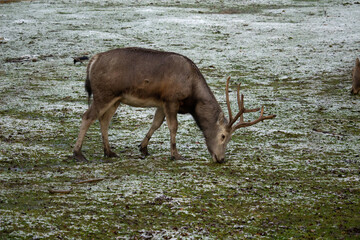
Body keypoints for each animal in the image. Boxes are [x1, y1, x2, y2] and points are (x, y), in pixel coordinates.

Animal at [73, 47, 276, 163]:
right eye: (223, 136)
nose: (221, 159)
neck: (192, 95)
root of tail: (92, 61)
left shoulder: (161, 102)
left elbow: (156, 123)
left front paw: (143, 147)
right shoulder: (171, 99)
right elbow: (173, 126)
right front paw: (175, 154)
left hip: (116, 98)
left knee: (104, 120)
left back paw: (109, 152)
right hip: (104, 93)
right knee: (87, 116)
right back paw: (78, 153)